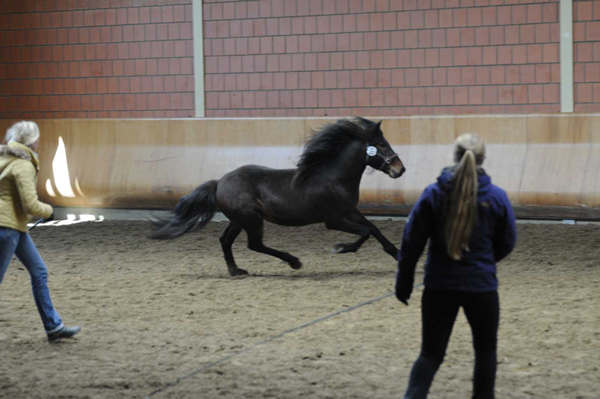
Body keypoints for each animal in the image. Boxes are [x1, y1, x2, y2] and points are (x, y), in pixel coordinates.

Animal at [151, 117, 408, 276]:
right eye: (380, 145)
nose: (400, 169)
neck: (333, 178)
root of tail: (219, 183)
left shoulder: (351, 211)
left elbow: (373, 228)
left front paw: (397, 254)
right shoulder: (333, 220)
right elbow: (365, 232)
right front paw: (341, 248)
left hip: (239, 220)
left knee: (225, 240)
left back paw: (236, 271)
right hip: (251, 219)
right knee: (254, 244)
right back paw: (293, 261)